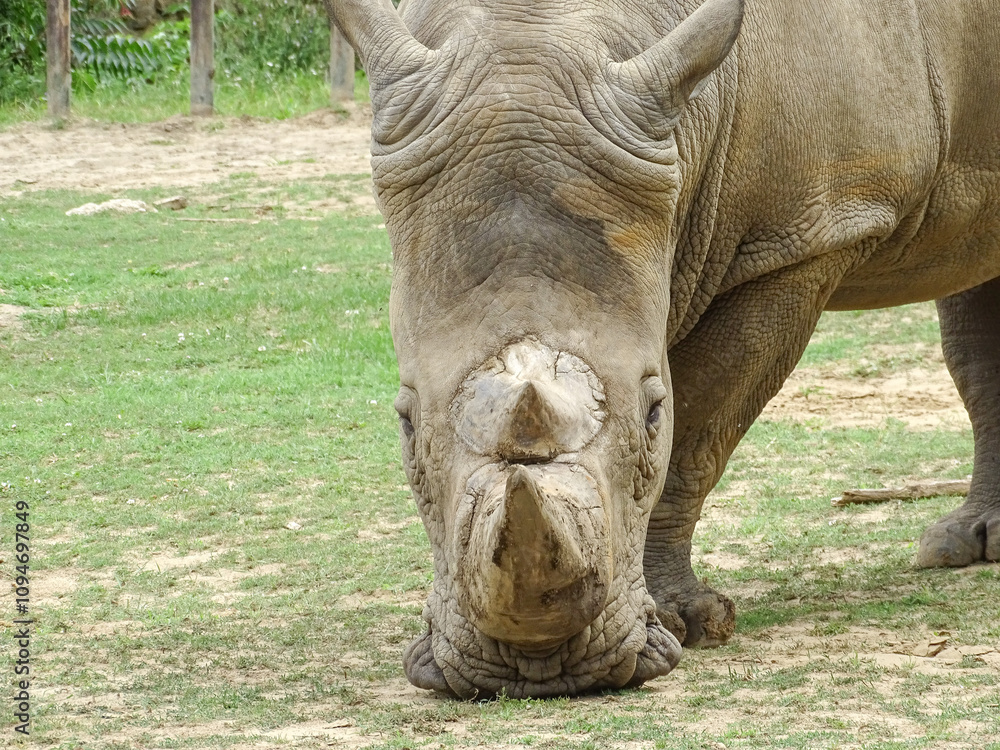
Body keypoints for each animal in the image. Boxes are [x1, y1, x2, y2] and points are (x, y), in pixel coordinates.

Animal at [325, 0, 1000, 698]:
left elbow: (699, 421)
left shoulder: (805, 237)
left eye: (652, 413)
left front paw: (683, 621)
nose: (538, 670)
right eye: (405, 424)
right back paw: (960, 547)